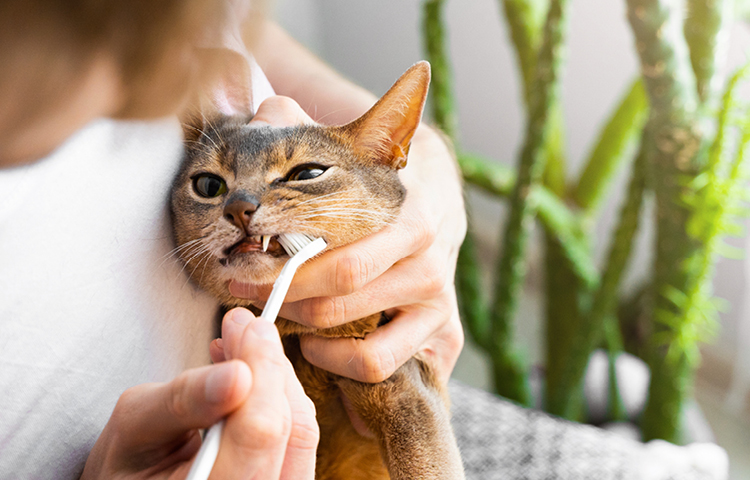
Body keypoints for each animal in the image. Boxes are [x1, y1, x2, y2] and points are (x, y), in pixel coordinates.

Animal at [170, 62, 464, 478]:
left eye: (307, 173)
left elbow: (425, 464)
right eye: (209, 185)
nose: (238, 207)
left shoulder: (405, 388)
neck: (295, 338)